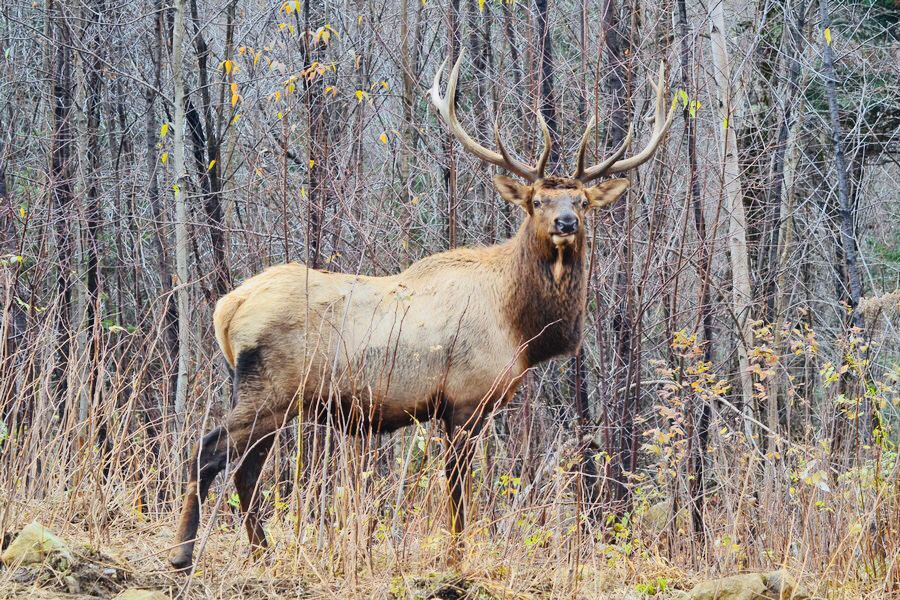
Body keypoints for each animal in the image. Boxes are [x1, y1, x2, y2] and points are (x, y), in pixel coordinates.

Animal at [171, 49, 676, 568]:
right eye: (537, 200)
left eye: (583, 199)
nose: (566, 222)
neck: (520, 330)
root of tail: (227, 308)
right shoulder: (466, 399)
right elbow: (456, 490)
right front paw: (457, 555)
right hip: (267, 390)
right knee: (207, 450)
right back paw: (182, 553)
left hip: (279, 402)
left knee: (245, 472)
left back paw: (262, 553)